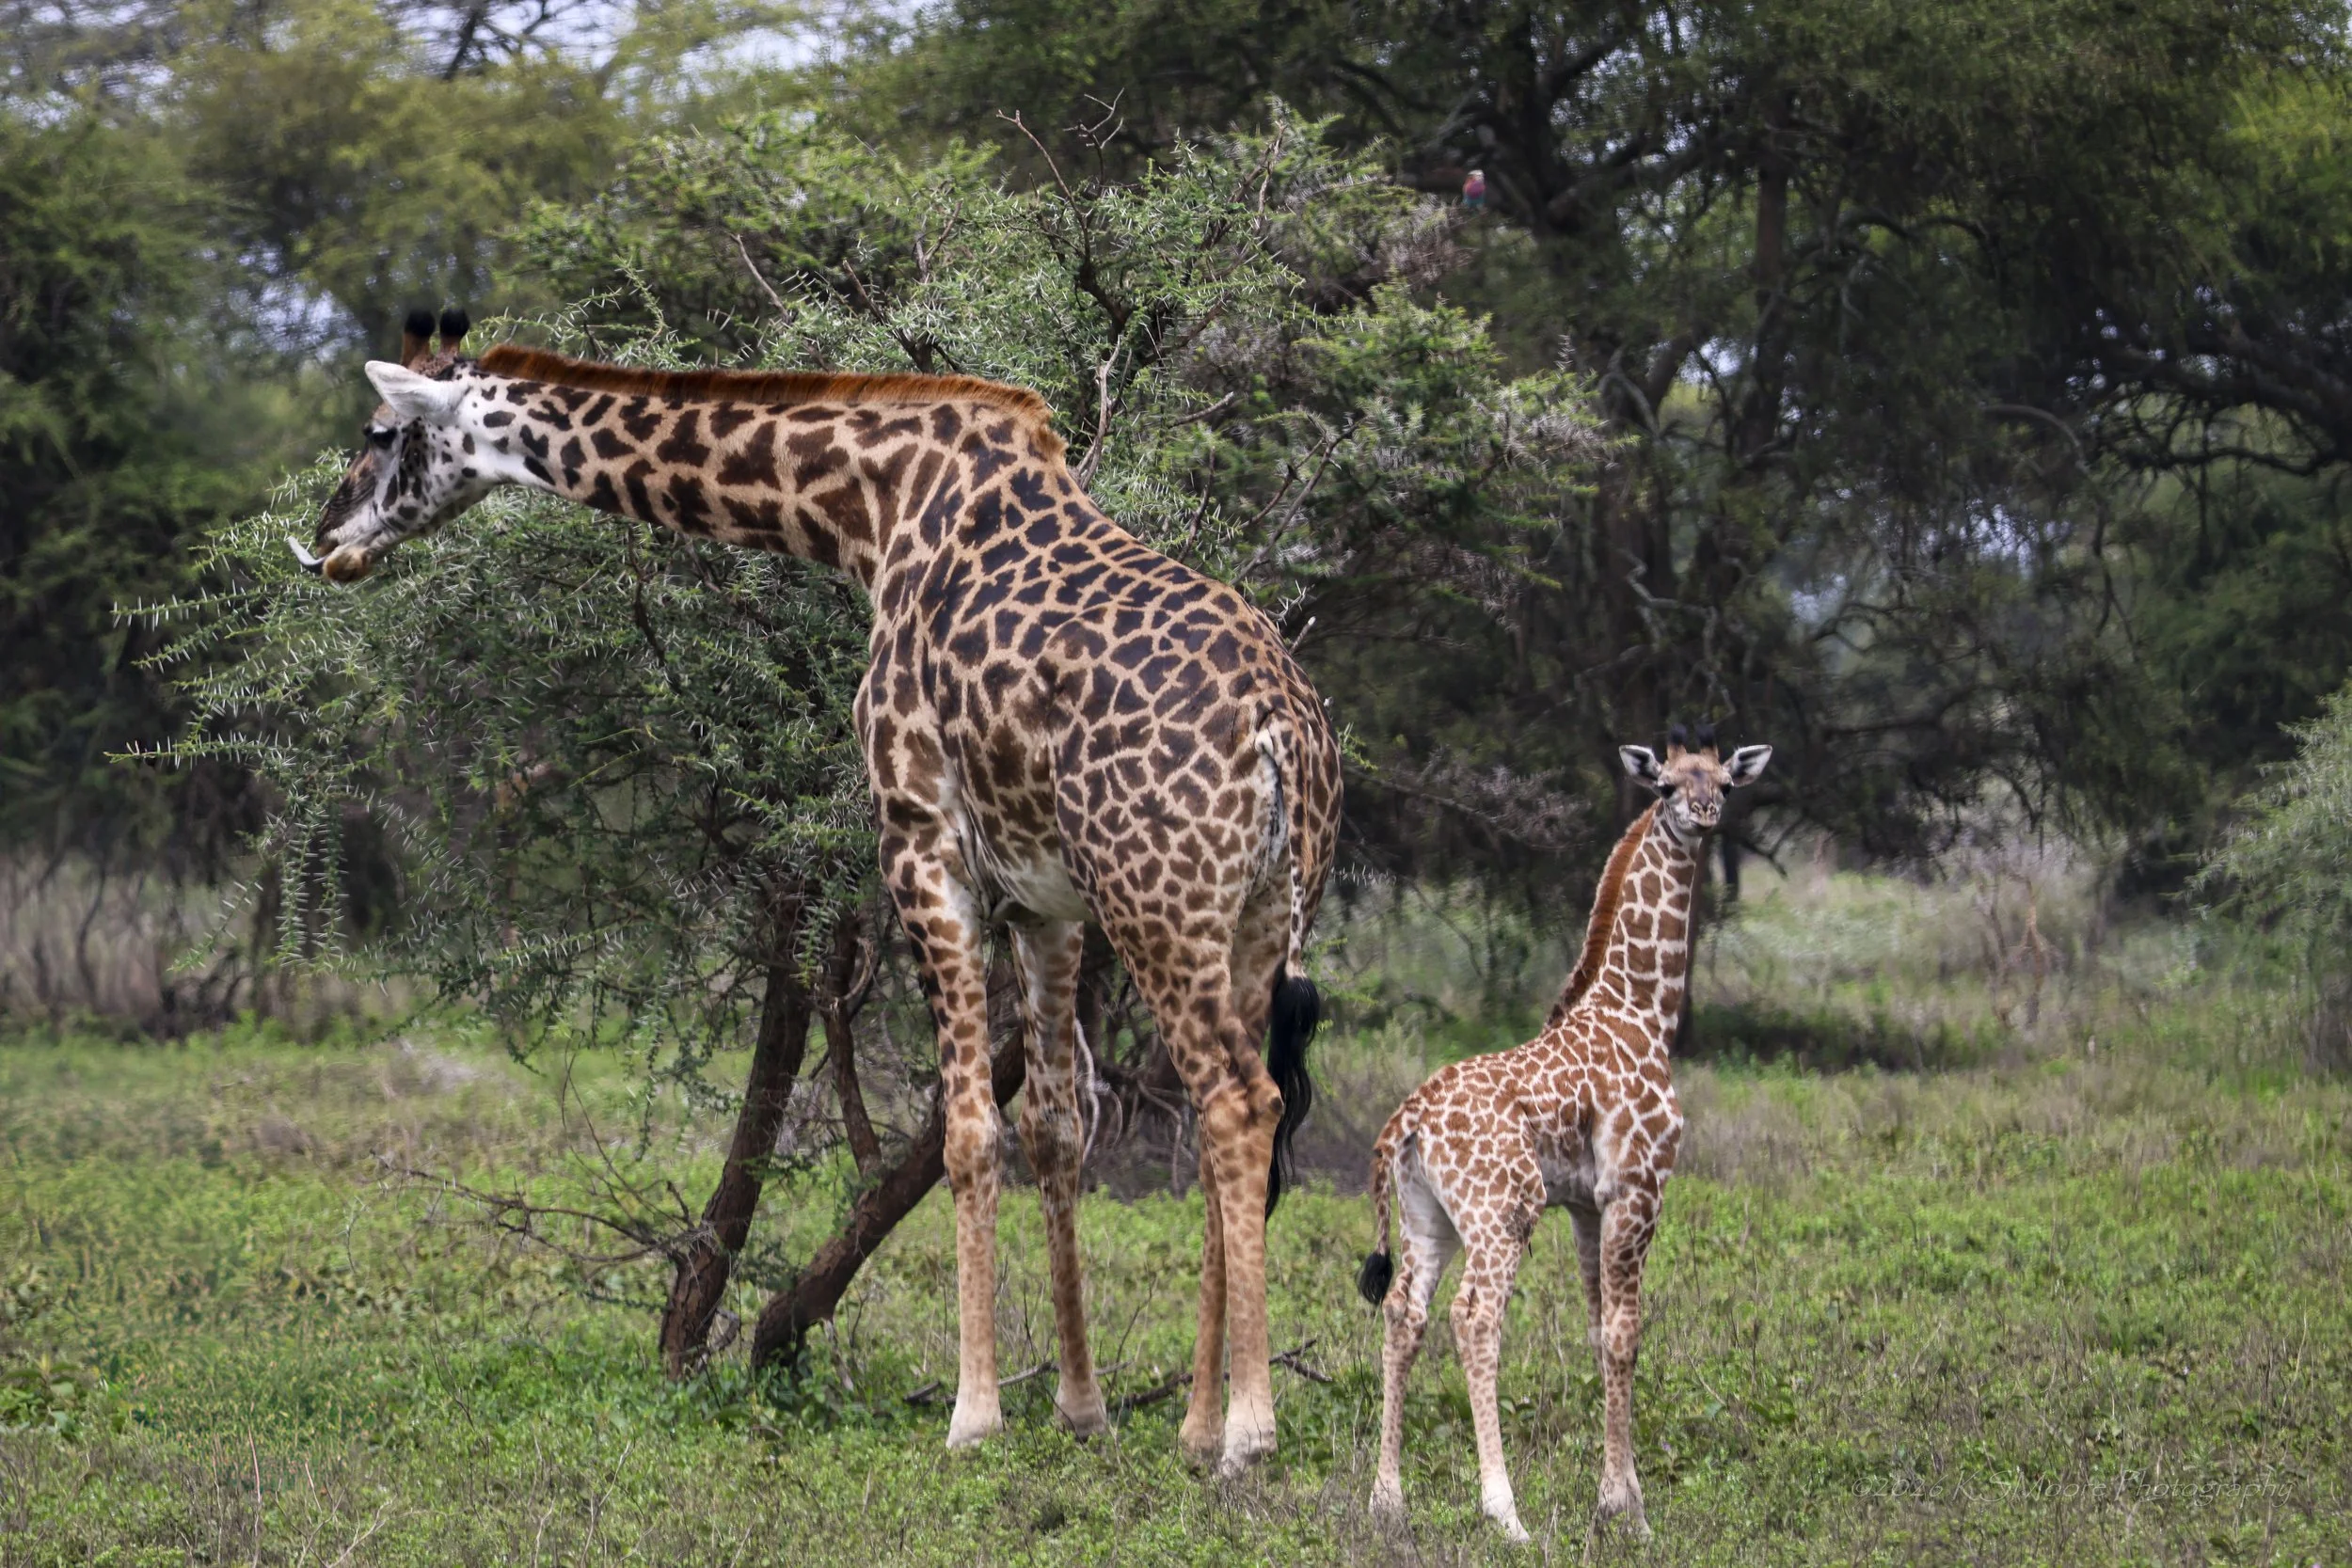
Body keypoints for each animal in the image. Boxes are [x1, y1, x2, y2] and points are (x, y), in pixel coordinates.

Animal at [299, 311, 1341, 1473]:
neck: (868, 511)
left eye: (380, 431)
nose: (327, 536)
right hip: (1254, 917)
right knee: (1228, 1115)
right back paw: (1201, 1424)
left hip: (1160, 902)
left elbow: (968, 1130)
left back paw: (1248, 1434)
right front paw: (1081, 1407)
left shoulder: (922, 841)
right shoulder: (1046, 899)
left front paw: (973, 1416)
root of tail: (1284, 734)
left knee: (1238, 1102)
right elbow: (1056, 1126)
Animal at [1355, 725, 1770, 1541]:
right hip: (1501, 1212)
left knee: (1406, 1313)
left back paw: (1388, 1503)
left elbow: (1597, 1325)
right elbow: (1625, 1332)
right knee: (1474, 1318)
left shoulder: (1585, 1203)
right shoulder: (1639, 1186)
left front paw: (1619, 1494)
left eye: (1724, 783)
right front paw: (1626, 1508)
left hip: (1427, 1216)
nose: (1703, 812)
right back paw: (1503, 1511)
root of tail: (1408, 1120)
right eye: (1666, 784)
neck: (1642, 1008)